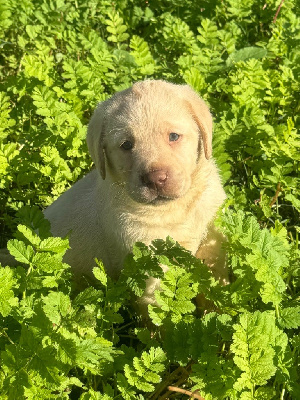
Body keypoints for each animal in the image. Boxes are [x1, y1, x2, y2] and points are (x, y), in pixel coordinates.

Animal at [44, 80, 227, 304]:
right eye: (126, 145)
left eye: (174, 136)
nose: (155, 178)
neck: (174, 211)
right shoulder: (153, 271)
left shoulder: (212, 238)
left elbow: (215, 285)